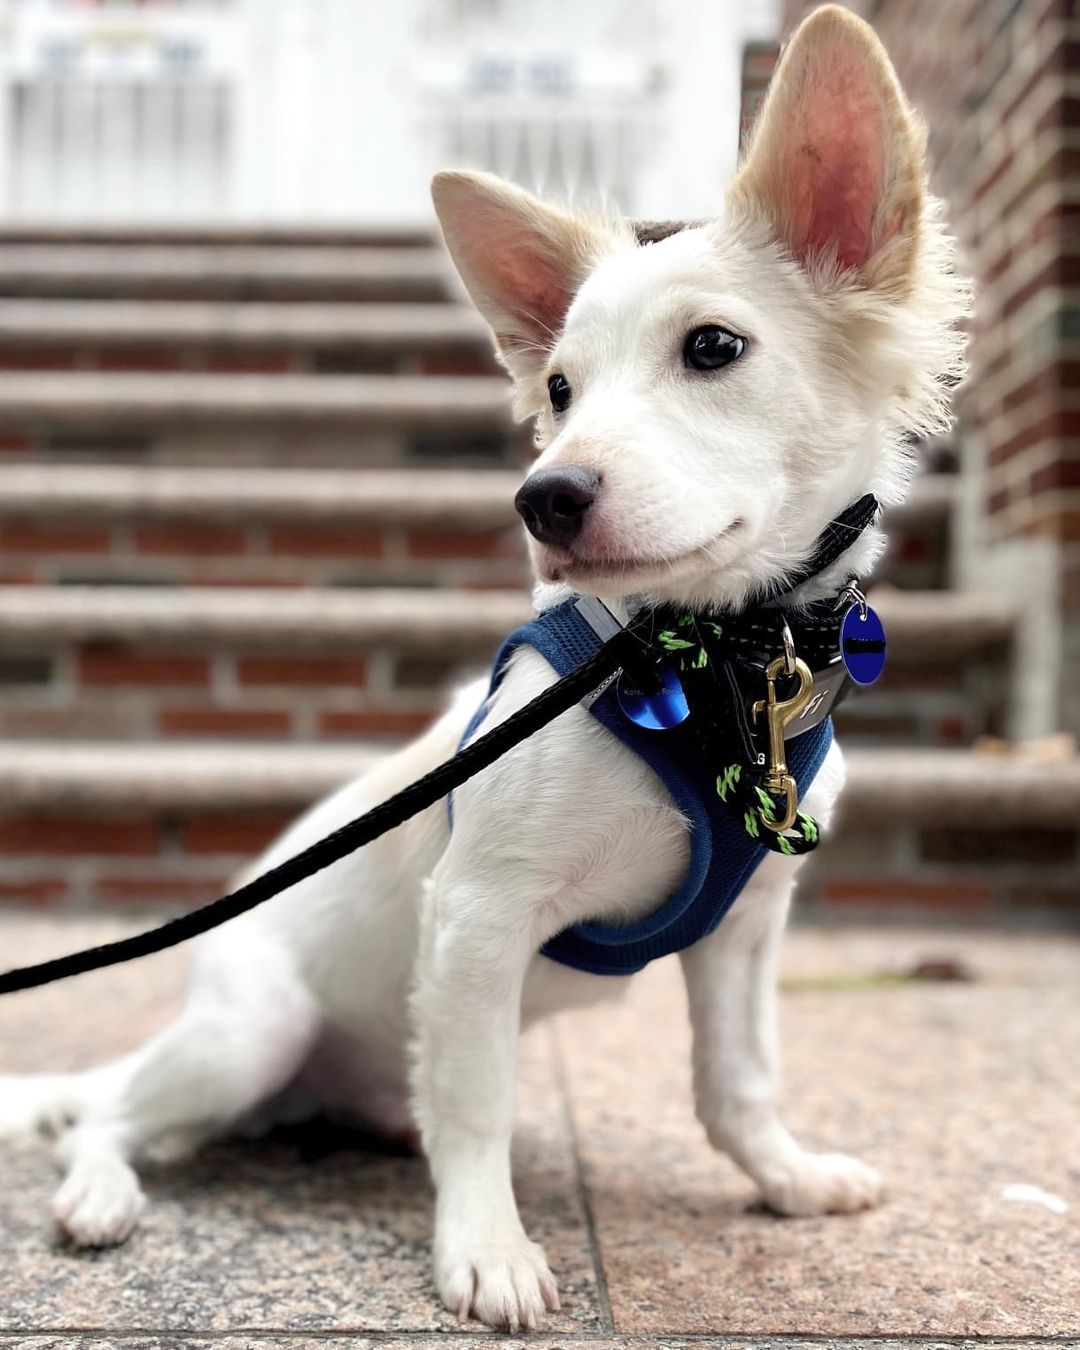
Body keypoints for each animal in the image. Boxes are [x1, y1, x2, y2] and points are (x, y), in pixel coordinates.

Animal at [2, 5, 972, 1333]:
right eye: (558, 389)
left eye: (715, 348)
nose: (543, 499)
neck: (701, 662)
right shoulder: (476, 916)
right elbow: (476, 1105)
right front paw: (487, 1248)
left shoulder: (745, 929)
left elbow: (738, 1080)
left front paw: (784, 1179)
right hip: (252, 1028)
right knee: (105, 1119)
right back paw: (100, 1194)